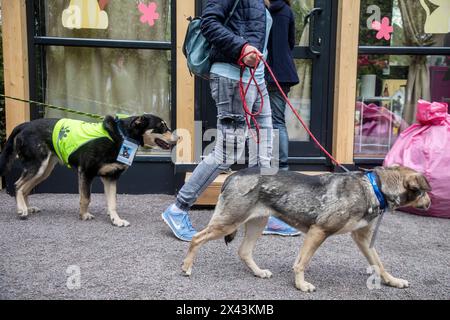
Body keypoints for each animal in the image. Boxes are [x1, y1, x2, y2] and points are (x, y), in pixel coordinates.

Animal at [0, 114, 178, 226]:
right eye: (161, 127)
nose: (179, 138)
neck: (122, 136)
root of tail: (25, 124)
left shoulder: (110, 177)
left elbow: (112, 203)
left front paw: (116, 220)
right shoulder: (86, 172)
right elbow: (86, 198)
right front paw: (84, 215)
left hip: (44, 170)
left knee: (25, 188)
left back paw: (27, 208)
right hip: (37, 166)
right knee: (18, 185)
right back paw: (22, 209)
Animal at [181, 165, 430, 292]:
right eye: (424, 192)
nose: (430, 203)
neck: (374, 186)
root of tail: (233, 175)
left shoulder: (363, 239)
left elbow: (379, 264)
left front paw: (392, 281)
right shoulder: (318, 231)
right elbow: (301, 263)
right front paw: (300, 285)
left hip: (257, 223)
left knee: (243, 251)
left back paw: (258, 272)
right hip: (228, 223)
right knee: (196, 238)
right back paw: (187, 267)